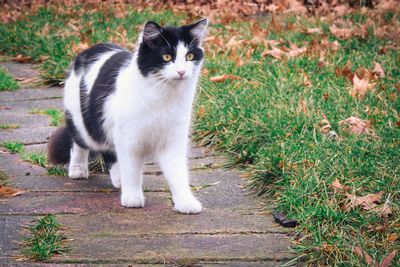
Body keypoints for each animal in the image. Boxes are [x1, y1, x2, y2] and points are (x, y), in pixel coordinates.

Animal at [48, 18, 208, 215]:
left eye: (190, 57)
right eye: (167, 57)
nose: (181, 72)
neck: (164, 96)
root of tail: (90, 49)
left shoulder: (173, 141)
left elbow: (178, 174)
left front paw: (185, 202)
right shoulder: (129, 140)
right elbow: (132, 171)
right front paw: (132, 198)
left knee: (110, 152)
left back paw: (118, 179)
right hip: (83, 122)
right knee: (80, 143)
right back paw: (78, 169)